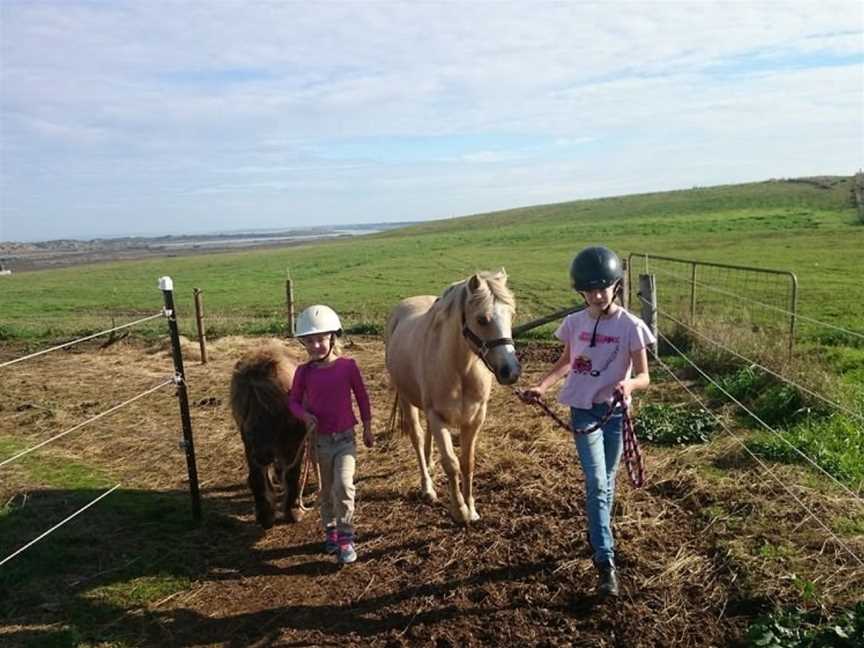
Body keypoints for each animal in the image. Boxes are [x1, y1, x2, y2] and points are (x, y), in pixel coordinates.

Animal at [384, 270, 520, 524]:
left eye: (511, 315)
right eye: (482, 319)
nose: (511, 371)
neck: (461, 370)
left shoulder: (475, 419)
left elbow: (467, 462)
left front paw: (472, 509)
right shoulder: (438, 417)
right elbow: (451, 464)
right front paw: (459, 511)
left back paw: (430, 465)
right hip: (408, 400)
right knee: (417, 438)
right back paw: (427, 487)